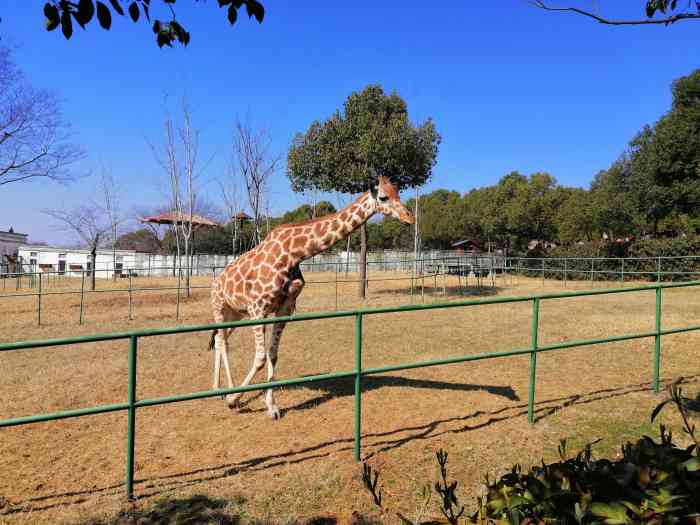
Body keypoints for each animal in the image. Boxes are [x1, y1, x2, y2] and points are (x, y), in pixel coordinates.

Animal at [208, 176, 416, 418]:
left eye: (398, 193)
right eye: (383, 197)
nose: (409, 218)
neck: (294, 254)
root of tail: (217, 279)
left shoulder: (284, 308)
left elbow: (272, 354)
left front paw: (272, 407)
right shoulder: (257, 308)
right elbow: (260, 357)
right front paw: (234, 400)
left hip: (235, 313)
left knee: (221, 340)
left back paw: (220, 388)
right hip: (219, 306)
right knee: (222, 342)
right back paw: (224, 392)